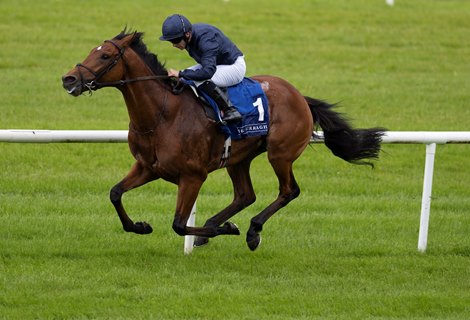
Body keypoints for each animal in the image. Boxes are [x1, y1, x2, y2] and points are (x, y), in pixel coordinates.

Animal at [61, 29, 386, 250]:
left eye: (105, 55)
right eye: (92, 50)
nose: (69, 79)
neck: (161, 115)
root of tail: (299, 96)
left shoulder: (193, 175)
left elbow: (179, 224)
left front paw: (227, 230)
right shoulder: (147, 167)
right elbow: (115, 193)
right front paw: (139, 226)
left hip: (280, 154)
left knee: (288, 191)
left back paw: (252, 231)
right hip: (238, 158)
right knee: (245, 195)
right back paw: (217, 224)